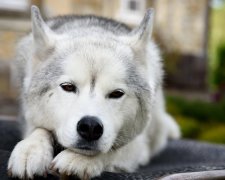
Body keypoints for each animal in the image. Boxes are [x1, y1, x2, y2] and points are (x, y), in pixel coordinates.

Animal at [7, 5, 180, 179]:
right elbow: (40, 129)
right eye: (68, 87)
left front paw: (78, 159)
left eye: (116, 93)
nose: (90, 126)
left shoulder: (138, 145)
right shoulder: (30, 120)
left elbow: (113, 149)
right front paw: (30, 150)